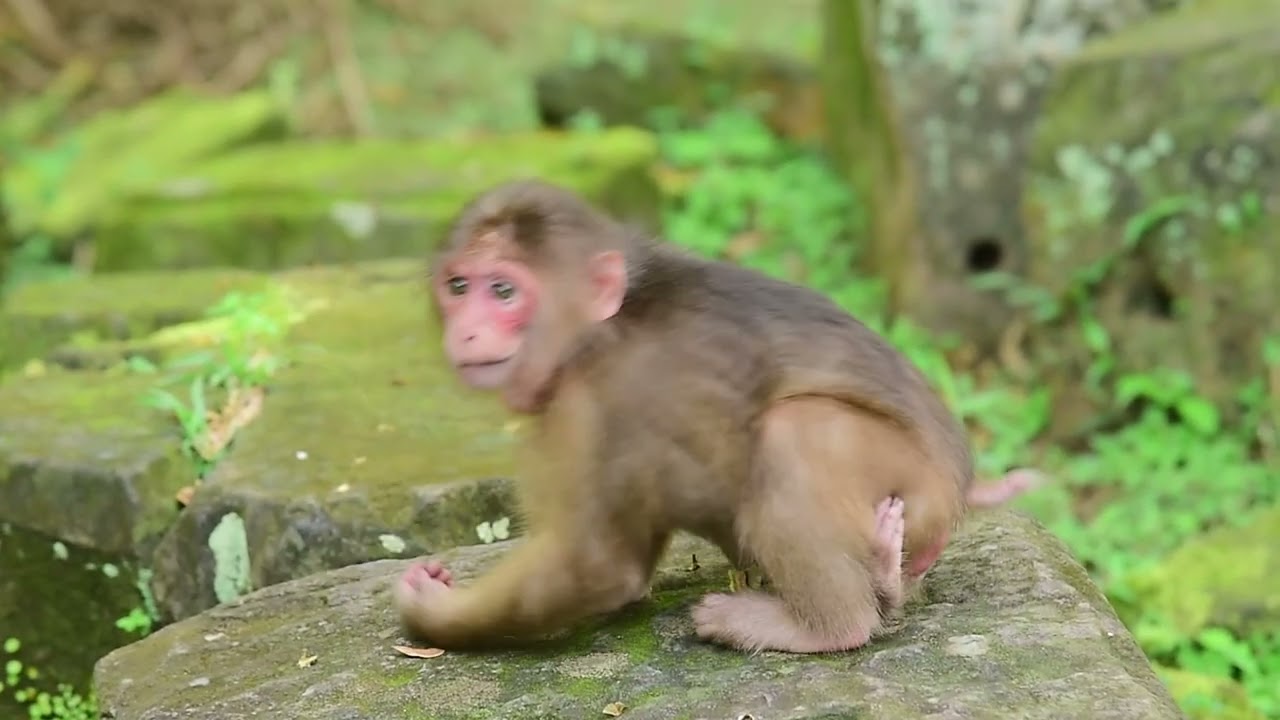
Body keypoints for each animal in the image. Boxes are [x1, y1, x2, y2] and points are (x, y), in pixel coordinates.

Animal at [394, 179, 1039, 654]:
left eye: (504, 291)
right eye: (459, 286)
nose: (467, 330)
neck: (596, 331)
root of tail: (960, 485)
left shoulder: (585, 408)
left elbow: (599, 566)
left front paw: (432, 613)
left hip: (916, 484)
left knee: (794, 431)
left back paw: (825, 626)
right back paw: (885, 574)